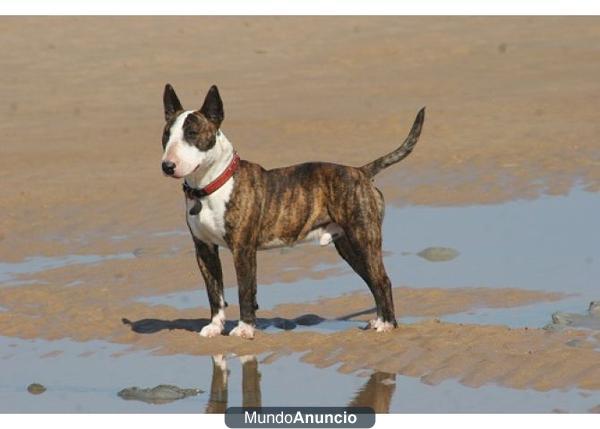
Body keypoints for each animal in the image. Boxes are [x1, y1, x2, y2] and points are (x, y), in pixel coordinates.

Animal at [159, 83, 422, 338]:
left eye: (192, 134)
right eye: (166, 135)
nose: (167, 166)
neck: (210, 186)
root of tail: (361, 171)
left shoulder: (243, 250)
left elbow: (245, 289)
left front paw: (245, 328)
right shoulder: (204, 249)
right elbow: (214, 291)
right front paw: (214, 327)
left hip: (363, 238)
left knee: (382, 280)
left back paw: (387, 324)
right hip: (348, 246)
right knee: (373, 281)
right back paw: (379, 320)